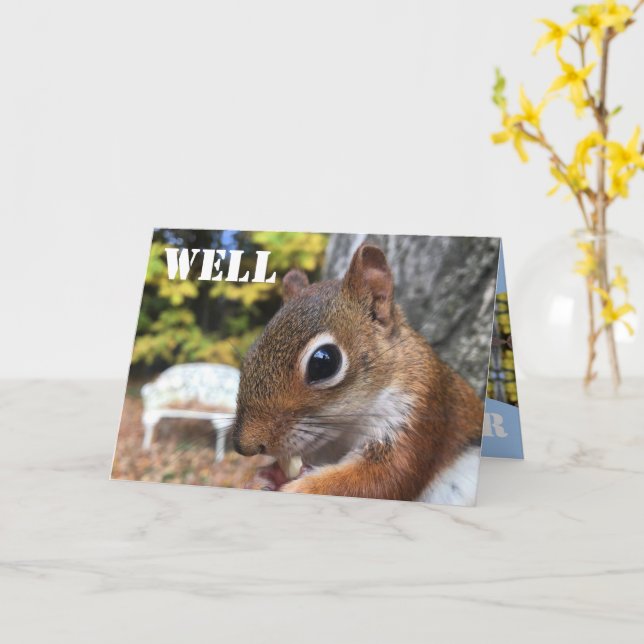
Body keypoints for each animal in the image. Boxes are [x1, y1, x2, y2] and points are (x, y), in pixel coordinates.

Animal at [232, 243, 485, 503]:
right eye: (252, 352)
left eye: (323, 363)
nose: (245, 446)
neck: (346, 429)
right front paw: (261, 478)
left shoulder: (422, 412)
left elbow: (382, 478)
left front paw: (302, 488)